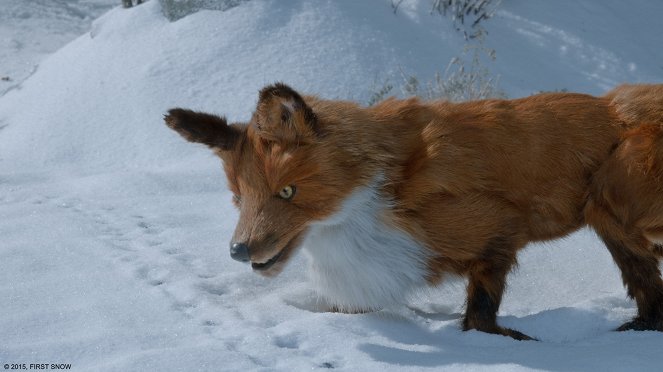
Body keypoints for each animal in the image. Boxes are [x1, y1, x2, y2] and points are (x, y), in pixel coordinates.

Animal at [165, 82, 663, 340]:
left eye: (287, 192)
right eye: (238, 196)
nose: (239, 251)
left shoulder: (495, 232)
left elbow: (481, 312)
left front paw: (506, 345)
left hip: (613, 206)